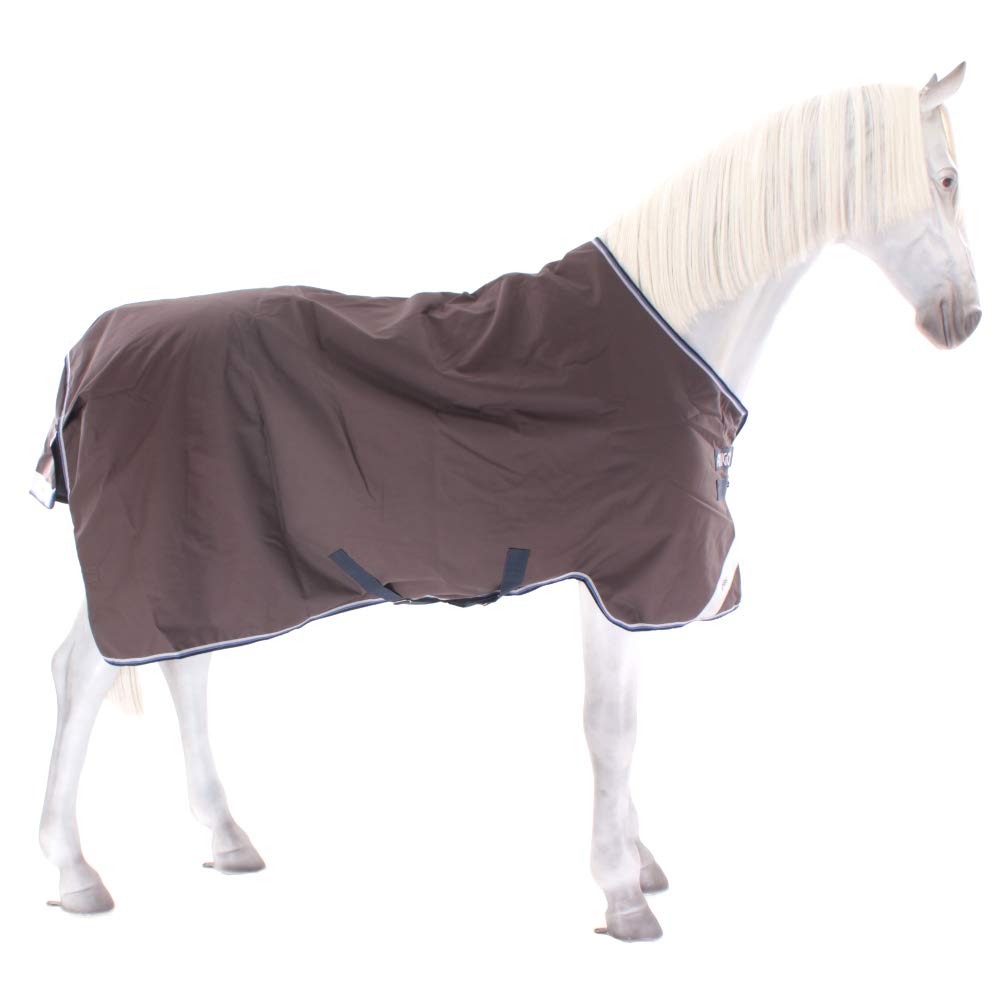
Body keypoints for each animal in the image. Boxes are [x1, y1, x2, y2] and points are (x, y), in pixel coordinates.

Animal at [34, 63, 981, 941]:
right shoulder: (617, 579)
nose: (965, 320)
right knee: (83, 673)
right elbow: (610, 727)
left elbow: (626, 723)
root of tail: (93, 348)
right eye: (945, 178)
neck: (663, 339)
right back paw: (73, 872)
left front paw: (637, 859)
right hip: (148, 554)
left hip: (204, 555)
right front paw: (622, 893)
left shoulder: (621, 587)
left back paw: (225, 838)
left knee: (183, 666)